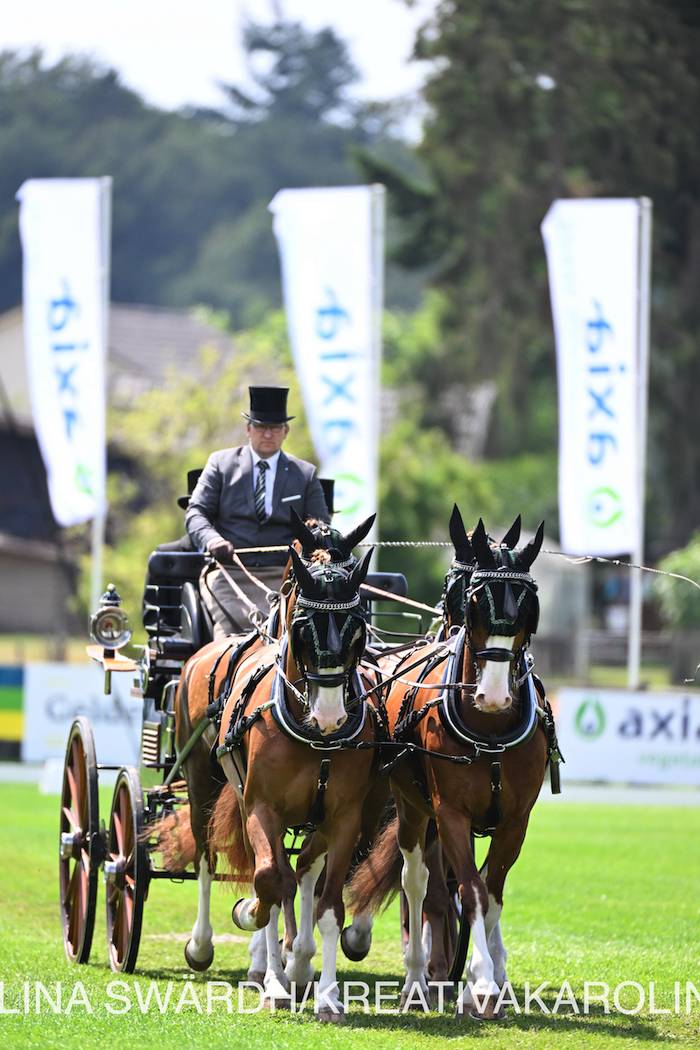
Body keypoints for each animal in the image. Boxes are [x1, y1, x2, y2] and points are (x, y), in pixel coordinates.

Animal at [349, 516, 551, 1020]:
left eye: (528, 607)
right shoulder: (451, 814)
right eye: (472, 597)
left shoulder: (515, 821)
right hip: (412, 809)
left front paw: (493, 975)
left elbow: (492, 893)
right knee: (417, 883)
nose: (494, 695)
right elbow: (469, 892)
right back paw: (418, 979)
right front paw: (478, 982)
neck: (490, 730)